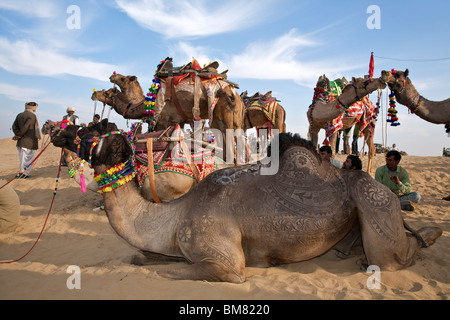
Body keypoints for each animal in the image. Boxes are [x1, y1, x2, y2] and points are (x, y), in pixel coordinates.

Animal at [51, 123, 442, 282]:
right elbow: (139, 258)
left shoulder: (225, 261)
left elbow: (165, 270)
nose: (57, 132)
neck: (173, 216)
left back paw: (431, 234)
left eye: (88, 132)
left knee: (393, 257)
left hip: (374, 201)